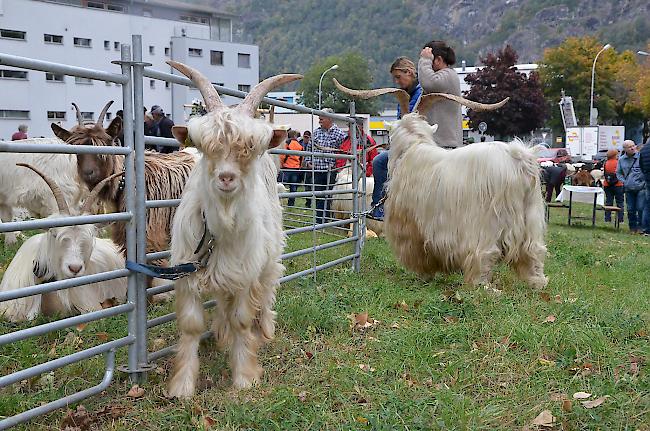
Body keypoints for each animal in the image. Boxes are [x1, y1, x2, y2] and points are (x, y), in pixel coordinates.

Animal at [332, 81, 544, 290]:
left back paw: (481, 286)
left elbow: (418, 252)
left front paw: (424, 275)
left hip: (488, 222)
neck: (413, 148)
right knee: (533, 252)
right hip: (530, 220)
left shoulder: (412, 225)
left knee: (485, 253)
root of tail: (518, 159)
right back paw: (536, 282)